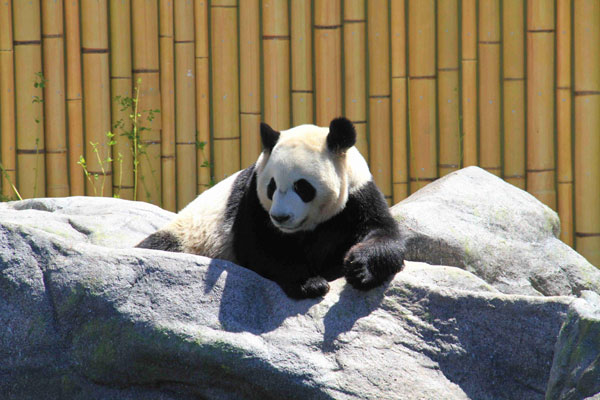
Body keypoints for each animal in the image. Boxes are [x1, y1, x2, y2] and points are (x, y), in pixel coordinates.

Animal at [138, 117, 406, 298]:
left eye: (302, 187)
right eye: (272, 186)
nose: (280, 217)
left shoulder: (358, 194)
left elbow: (384, 233)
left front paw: (359, 267)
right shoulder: (253, 201)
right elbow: (259, 248)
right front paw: (310, 283)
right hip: (188, 236)